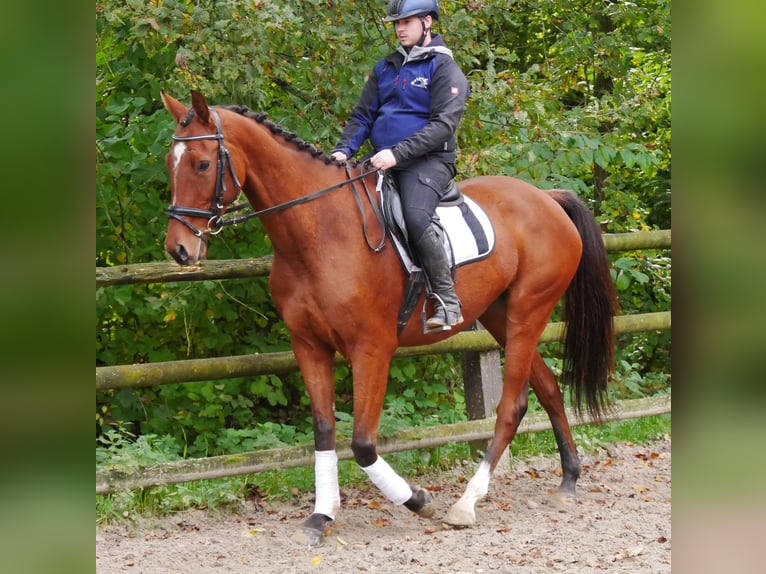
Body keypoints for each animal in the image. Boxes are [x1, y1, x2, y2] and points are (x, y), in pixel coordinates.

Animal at [160, 91, 616, 548]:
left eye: (202, 164)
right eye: (170, 161)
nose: (179, 249)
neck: (319, 233)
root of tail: (546, 198)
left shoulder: (372, 349)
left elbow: (362, 443)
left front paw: (418, 500)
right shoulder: (309, 346)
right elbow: (324, 432)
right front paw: (321, 516)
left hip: (527, 313)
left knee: (511, 405)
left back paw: (466, 504)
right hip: (500, 317)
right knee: (547, 388)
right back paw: (568, 480)